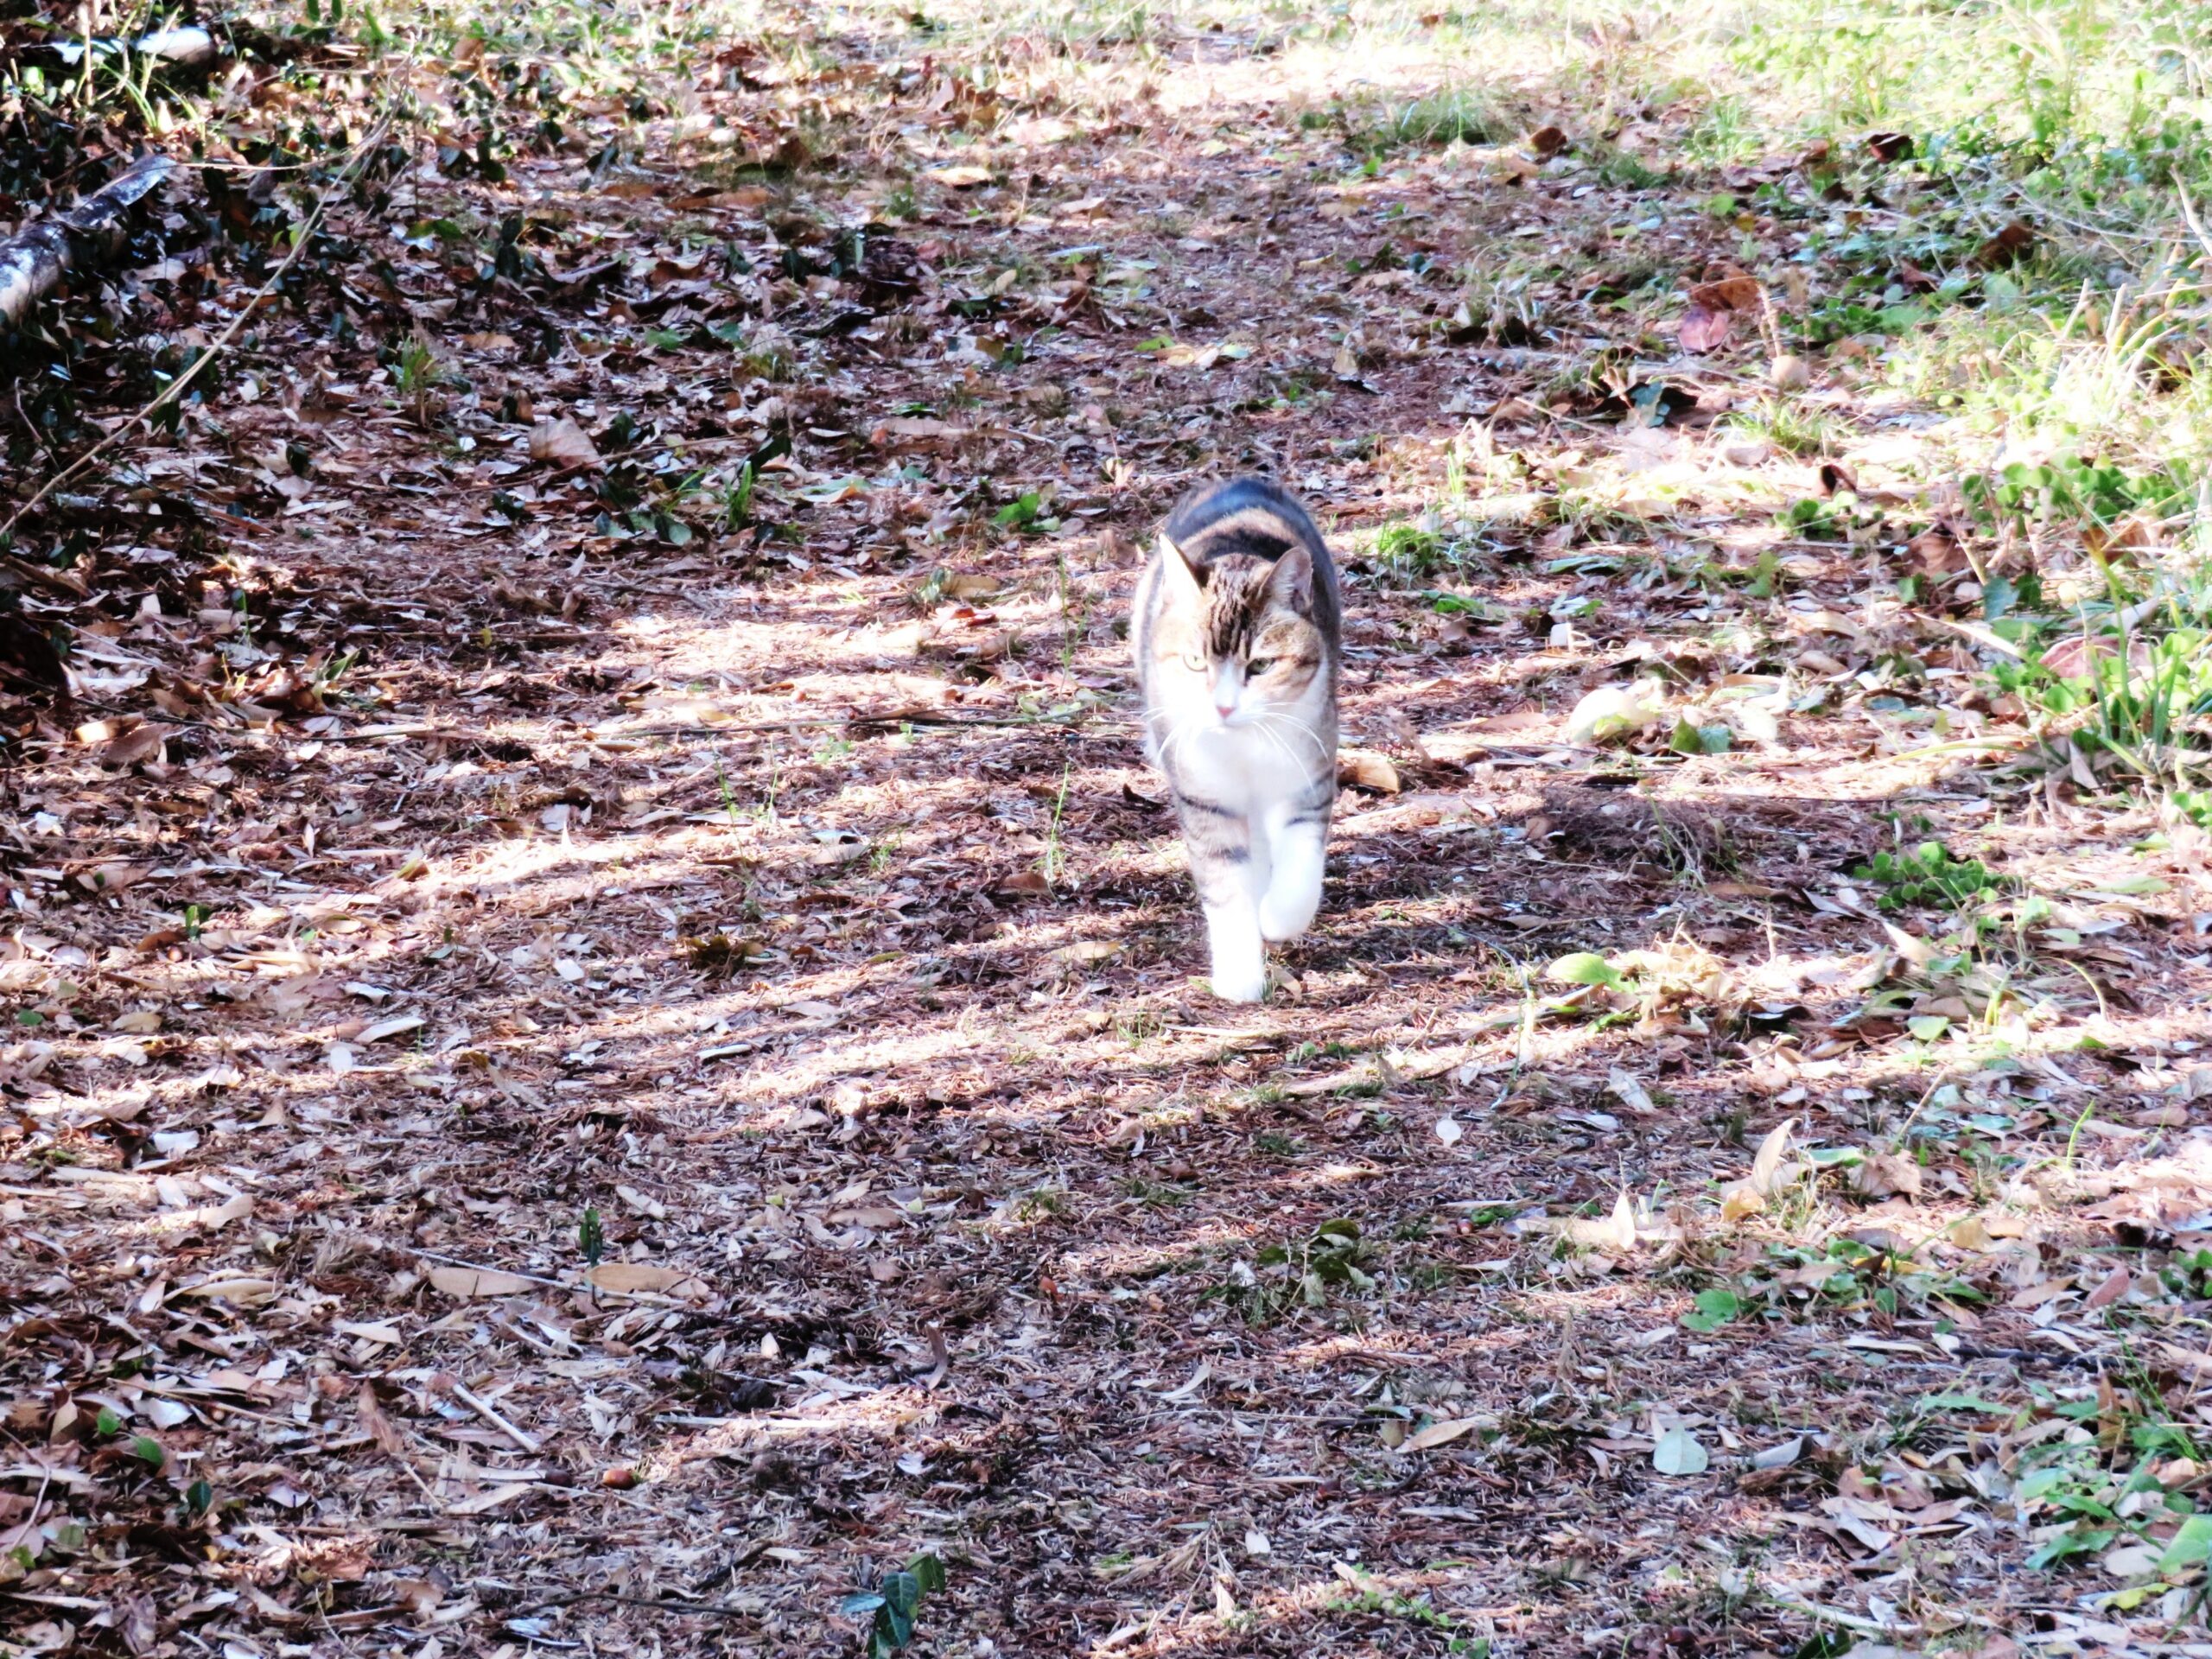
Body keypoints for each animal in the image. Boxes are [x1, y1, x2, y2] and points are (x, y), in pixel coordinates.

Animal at [1132, 473, 1336, 1008]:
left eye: (1261, 665)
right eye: (1194, 662)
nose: (1223, 707)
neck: (1242, 743)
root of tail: (1242, 479)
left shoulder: (1308, 771)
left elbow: (1301, 865)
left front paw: (1277, 915)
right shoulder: (1203, 796)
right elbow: (1225, 884)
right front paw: (1240, 976)